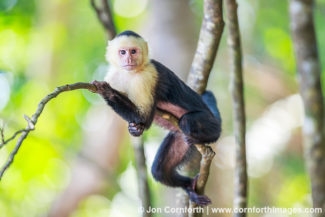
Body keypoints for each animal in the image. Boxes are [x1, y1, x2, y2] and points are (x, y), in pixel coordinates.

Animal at [92, 30, 221, 205]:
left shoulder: (147, 76)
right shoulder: (113, 76)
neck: (130, 73)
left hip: (211, 124)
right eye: (123, 52)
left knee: (188, 121)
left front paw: (106, 91)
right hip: (178, 137)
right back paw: (189, 187)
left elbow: (144, 117)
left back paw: (202, 139)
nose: (128, 59)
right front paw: (134, 129)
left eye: (133, 51)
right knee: (160, 171)